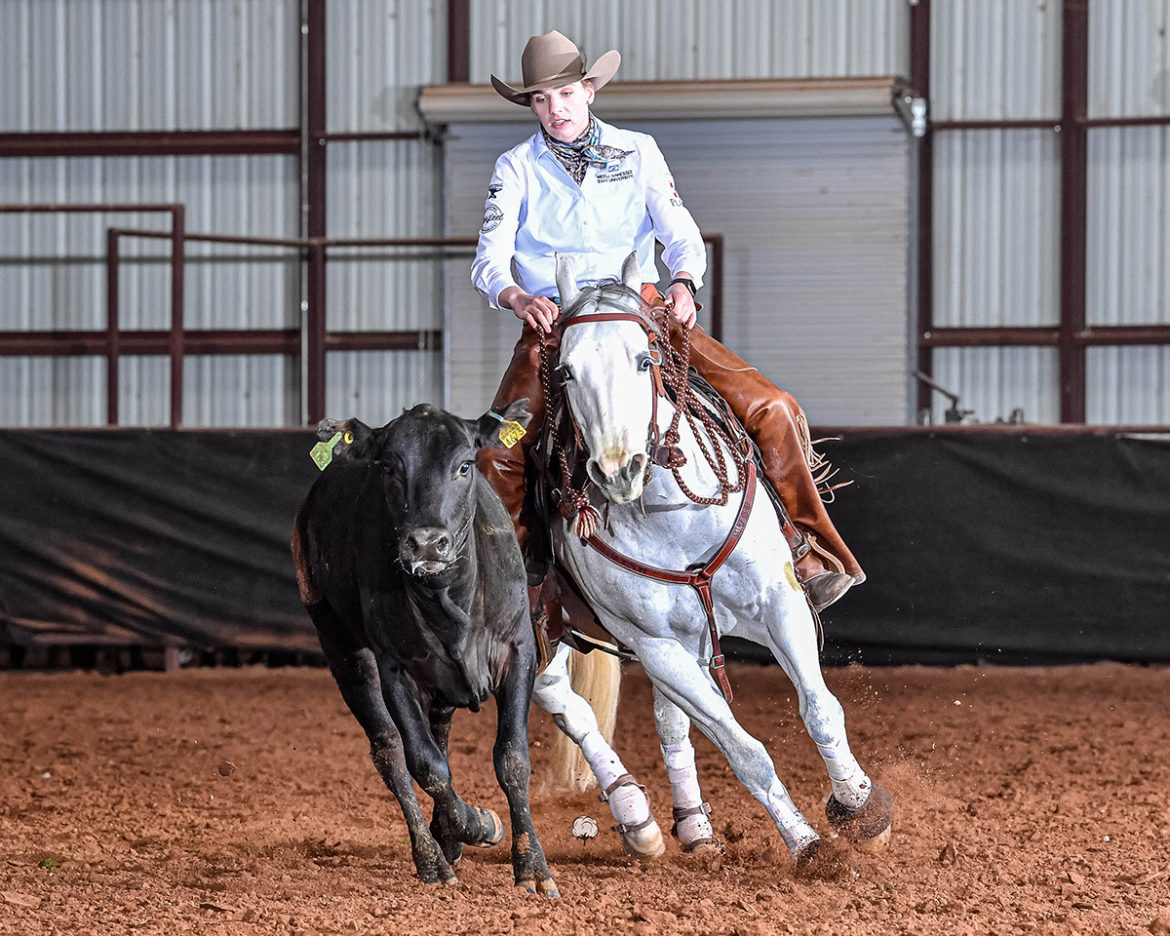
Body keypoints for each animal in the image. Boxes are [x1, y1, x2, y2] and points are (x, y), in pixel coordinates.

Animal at [286, 397, 552, 893]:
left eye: (465, 465)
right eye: (389, 467)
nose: (426, 543)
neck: (450, 600)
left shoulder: (519, 651)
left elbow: (512, 758)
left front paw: (532, 867)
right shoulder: (397, 668)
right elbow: (426, 764)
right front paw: (476, 823)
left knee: (440, 734)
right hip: (341, 646)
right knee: (390, 750)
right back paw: (433, 855)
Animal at [535, 252, 889, 865]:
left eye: (645, 358)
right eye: (566, 372)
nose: (618, 471)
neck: (667, 514)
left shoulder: (778, 603)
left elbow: (820, 709)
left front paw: (859, 807)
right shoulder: (657, 647)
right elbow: (744, 750)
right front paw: (806, 845)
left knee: (667, 721)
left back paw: (693, 827)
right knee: (566, 702)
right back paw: (636, 816)